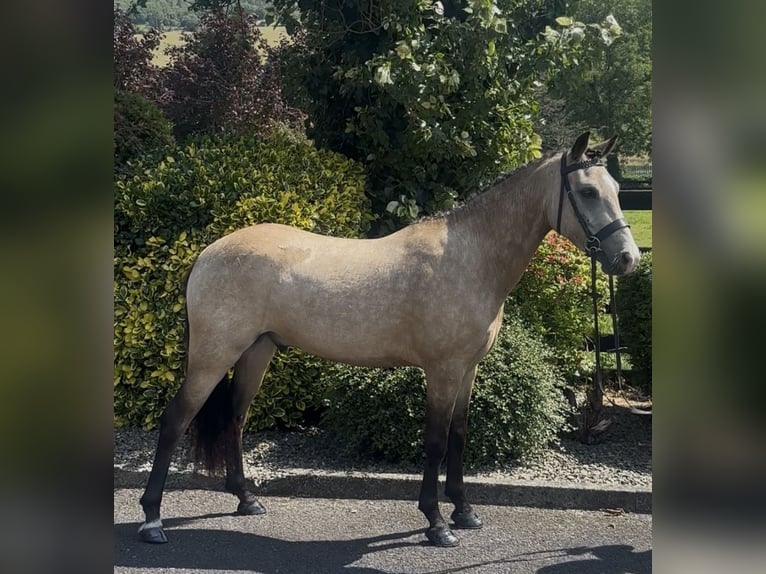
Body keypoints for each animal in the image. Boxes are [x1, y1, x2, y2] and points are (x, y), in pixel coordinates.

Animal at [137, 131, 640, 547]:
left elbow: (459, 435)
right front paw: (436, 523)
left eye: (617, 191)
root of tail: (208, 253)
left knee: (236, 419)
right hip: (212, 356)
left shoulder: (467, 369)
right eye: (588, 191)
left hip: (255, 352)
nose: (628, 259)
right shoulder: (442, 371)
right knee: (174, 421)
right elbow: (435, 441)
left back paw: (246, 500)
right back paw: (152, 520)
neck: (469, 256)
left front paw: (464, 512)